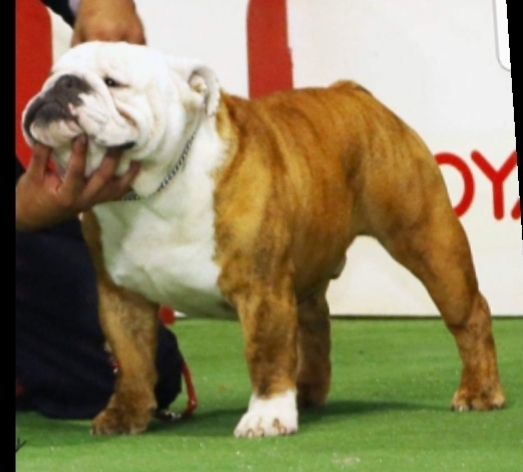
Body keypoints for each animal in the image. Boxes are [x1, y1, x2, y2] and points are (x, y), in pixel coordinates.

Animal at [22, 41, 505, 437]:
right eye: (52, 73)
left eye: (112, 82)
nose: (62, 85)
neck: (149, 190)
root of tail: (354, 93)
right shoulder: (121, 297)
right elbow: (133, 360)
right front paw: (126, 414)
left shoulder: (261, 289)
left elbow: (267, 352)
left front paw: (267, 415)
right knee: (314, 323)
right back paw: (307, 392)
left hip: (427, 240)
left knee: (470, 314)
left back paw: (479, 392)